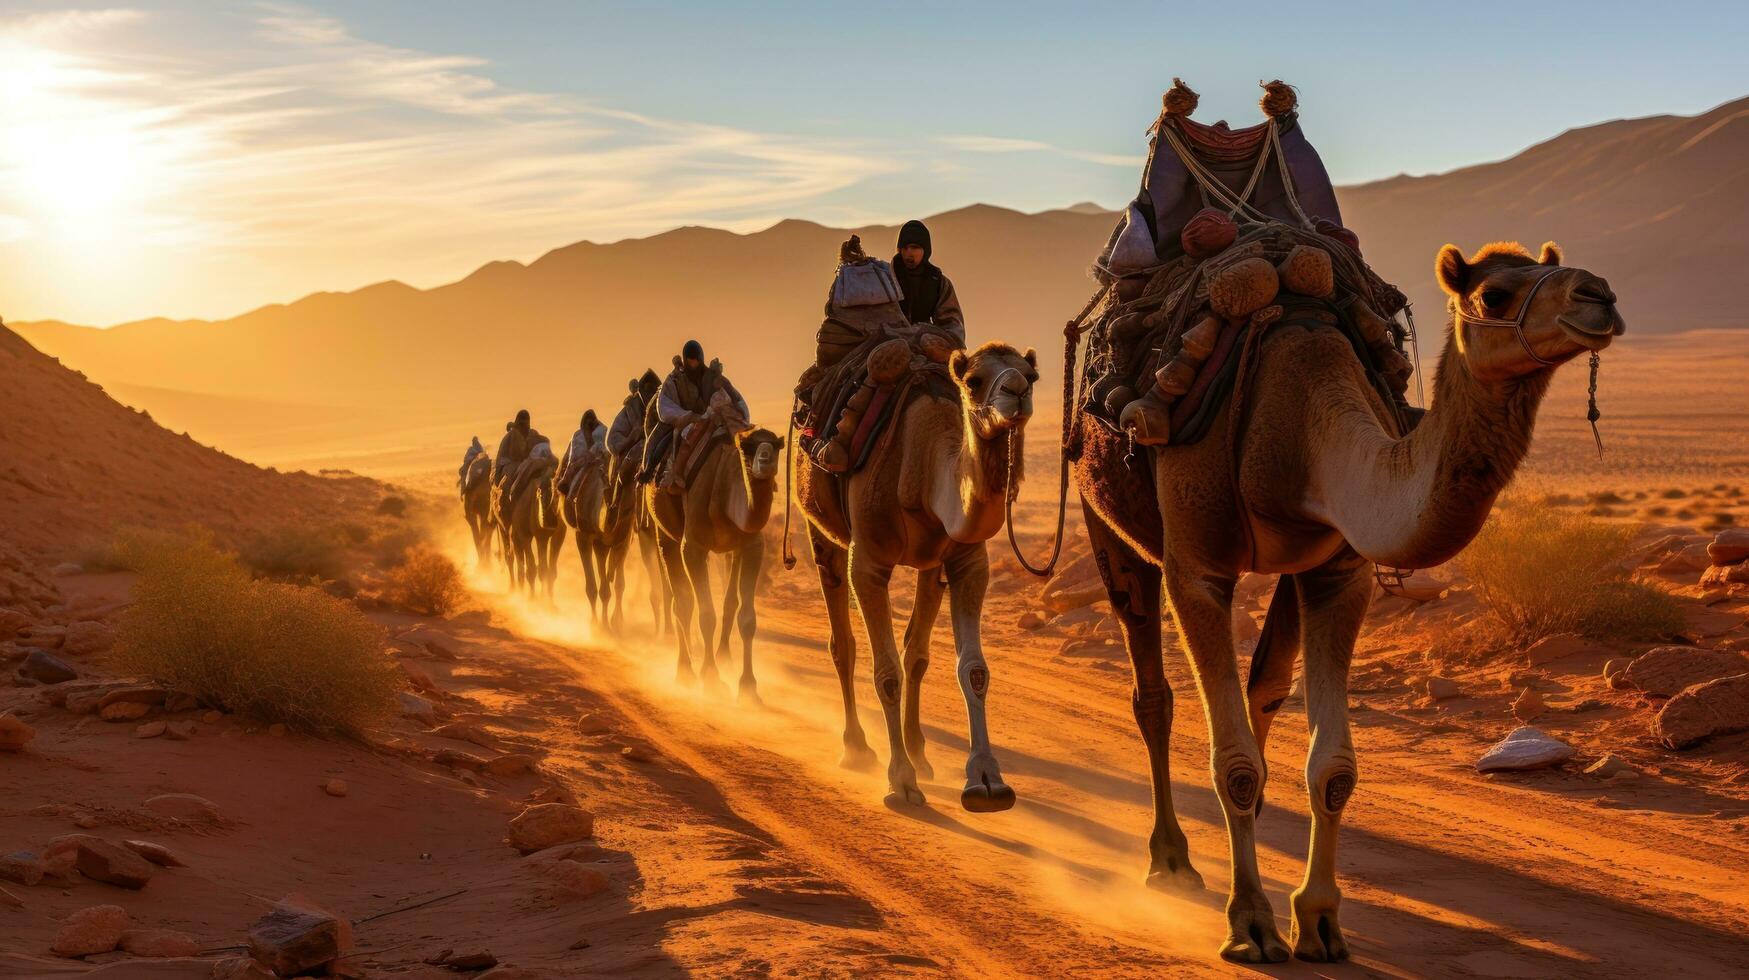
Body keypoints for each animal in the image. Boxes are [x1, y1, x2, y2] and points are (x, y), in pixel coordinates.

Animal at [643, 416, 780, 700]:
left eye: (777, 446)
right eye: (748, 449)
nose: (765, 461)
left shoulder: (752, 546)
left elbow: (747, 617)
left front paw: (748, 686)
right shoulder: (694, 547)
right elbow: (706, 615)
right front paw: (711, 678)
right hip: (664, 532)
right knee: (682, 602)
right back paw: (685, 671)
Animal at [801, 344, 1035, 812]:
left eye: (1031, 373)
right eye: (974, 381)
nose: (1018, 391)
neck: (925, 467)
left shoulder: (967, 560)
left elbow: (973, 669)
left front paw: (987, 780)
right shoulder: (868, 561)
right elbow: (886, 672)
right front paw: (902, 782)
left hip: (930, 568)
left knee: (916, 652)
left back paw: (919, 752)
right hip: (822, 534)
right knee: (843, 644)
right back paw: (857, 748)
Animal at [1070, 241, 1630, 959]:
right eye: (1495, 294)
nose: (1599, 295)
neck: (1299, 423)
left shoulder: (1339, 571)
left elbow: (1332, 768)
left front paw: (1317, 920)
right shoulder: (1196, 566)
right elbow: (1234, 765)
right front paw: (1250, 923)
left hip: (1288, 572)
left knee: (1263, 688)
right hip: (1103, 512)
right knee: (1152, 694)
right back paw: (1170, 860)